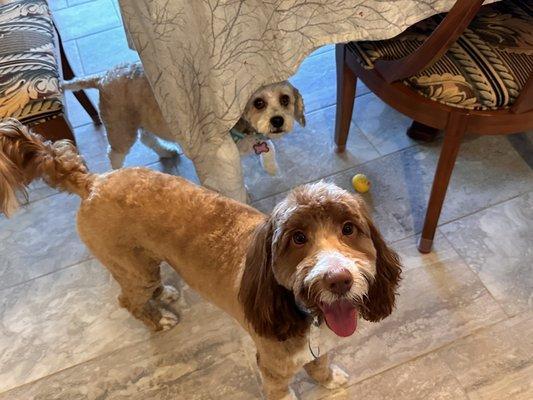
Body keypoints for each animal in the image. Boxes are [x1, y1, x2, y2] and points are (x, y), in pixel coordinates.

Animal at [0, 119, 400, 400]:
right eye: (297, 238)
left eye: (349, 229)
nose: (338, 279)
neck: (298, 310)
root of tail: (92, 182)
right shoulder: (272, 369)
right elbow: (282, 390)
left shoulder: (318, 348)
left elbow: (320, 364)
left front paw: (329, 379)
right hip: (131, 267)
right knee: (128, 300)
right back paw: (158, 318)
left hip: (146, 261)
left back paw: (164, 294)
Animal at [61, 63, 304, 174]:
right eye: (258, 103)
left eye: (285, 99)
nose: (278, 120)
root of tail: (104, 76)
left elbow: (268, 150)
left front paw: (270, 165)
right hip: (121, 128)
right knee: (114, 154)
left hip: (141, 120)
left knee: (147, 138)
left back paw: (166, 152)